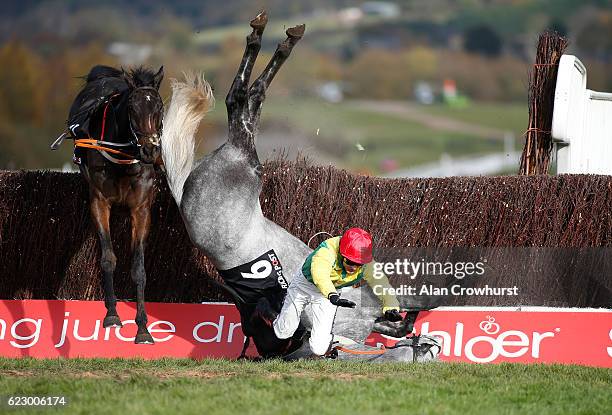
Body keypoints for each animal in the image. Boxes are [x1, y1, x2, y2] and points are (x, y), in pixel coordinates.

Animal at [61, 65, 165, 344]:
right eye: (132, 108)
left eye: (160, 107)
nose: (150, 150)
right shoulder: (99, 200)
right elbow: (108, 258)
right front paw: (112, 315)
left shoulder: (141, 208)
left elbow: (138, 268)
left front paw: (143, 328)